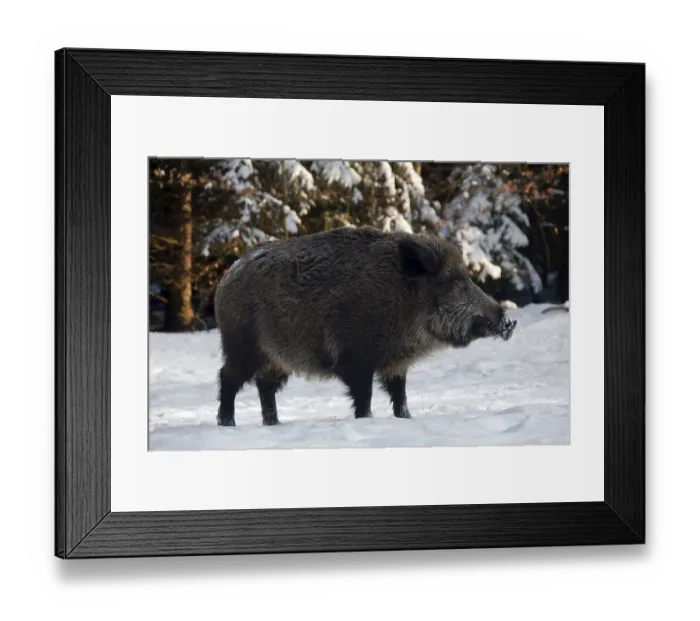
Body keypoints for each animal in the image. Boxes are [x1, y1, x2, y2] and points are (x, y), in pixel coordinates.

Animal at [214, 226, 517, 427]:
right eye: (454, 283)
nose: (509, 322)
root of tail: (225, 280)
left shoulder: (395, 365)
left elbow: (400, 395)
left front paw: (407, 419)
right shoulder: (355, 359)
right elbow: (365, 396)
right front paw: (366, 420)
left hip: (276, 360)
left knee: (265, 387)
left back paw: (274, 424)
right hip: (244, 347)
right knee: (227, 378)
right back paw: (227, 423)